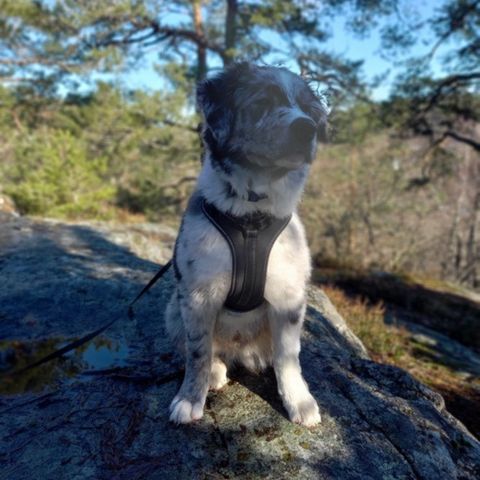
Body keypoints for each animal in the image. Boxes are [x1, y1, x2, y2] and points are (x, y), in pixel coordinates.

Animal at [164, 62, 326, 426]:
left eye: (308, 110)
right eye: (263, 101)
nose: (307, 129)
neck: (251, 215)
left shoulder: (289, 297)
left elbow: (288, 356)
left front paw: (299, 401)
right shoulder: (197, 295)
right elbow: (197, 352)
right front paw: (189, 399)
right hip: (172, 311)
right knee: (206, 351)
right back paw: (215, 372)